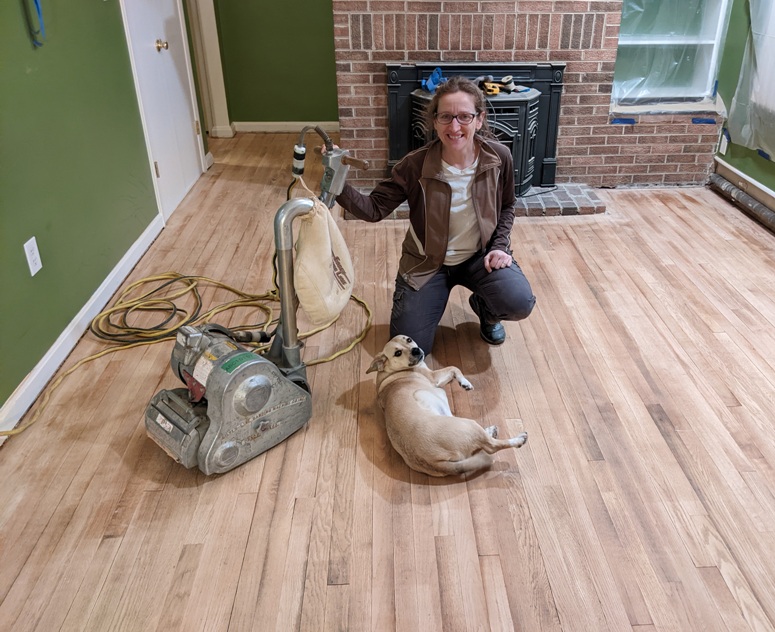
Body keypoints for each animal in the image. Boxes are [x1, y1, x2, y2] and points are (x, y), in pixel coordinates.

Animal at [368, 336, 528, 474]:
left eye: (408, 339)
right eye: (398, 353)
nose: (416, 350)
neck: (390, 370)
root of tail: (435, 463)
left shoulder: (438, 380)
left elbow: (453, 371)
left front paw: (462, 382)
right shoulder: (433, 377)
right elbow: (454, 367)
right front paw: (465, 383)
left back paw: (491, 431)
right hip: (469, 424)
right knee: (491, 446)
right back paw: (518, 439)